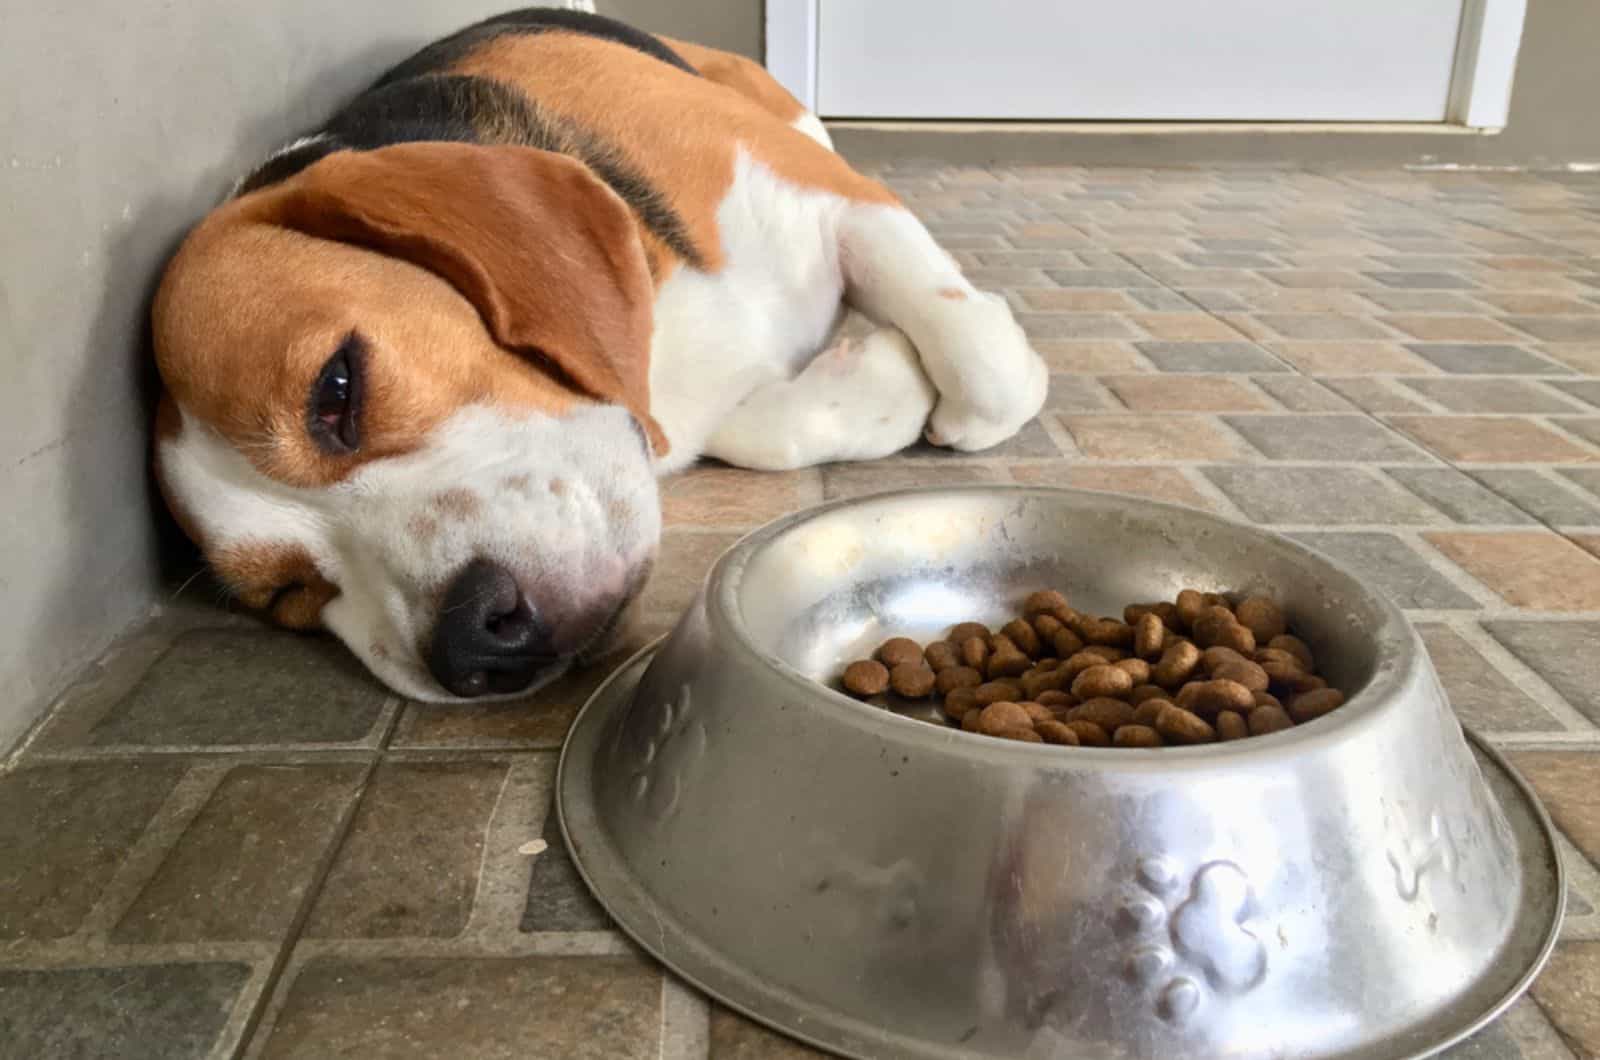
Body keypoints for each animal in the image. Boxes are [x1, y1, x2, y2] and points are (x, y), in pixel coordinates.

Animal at [152, 12, 1049, 704]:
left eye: (336, 389)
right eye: (288, 595)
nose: (475, 643)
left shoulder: (816, 187)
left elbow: (987, 374)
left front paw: (944, 367)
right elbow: (759, 431)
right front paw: (884, 370)